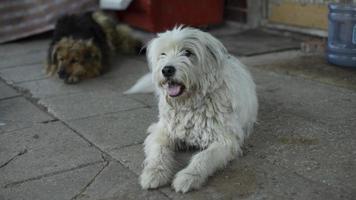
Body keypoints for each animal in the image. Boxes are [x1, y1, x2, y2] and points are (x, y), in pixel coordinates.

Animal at [126, 27, 258, 193]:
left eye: (187, 52)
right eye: (163, 54)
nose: (167, 70)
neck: (189, 104)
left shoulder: (225, 140)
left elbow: (204, 157)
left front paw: (188, 177)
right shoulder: (163, 131)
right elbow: (158, 151)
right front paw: (154, 173)